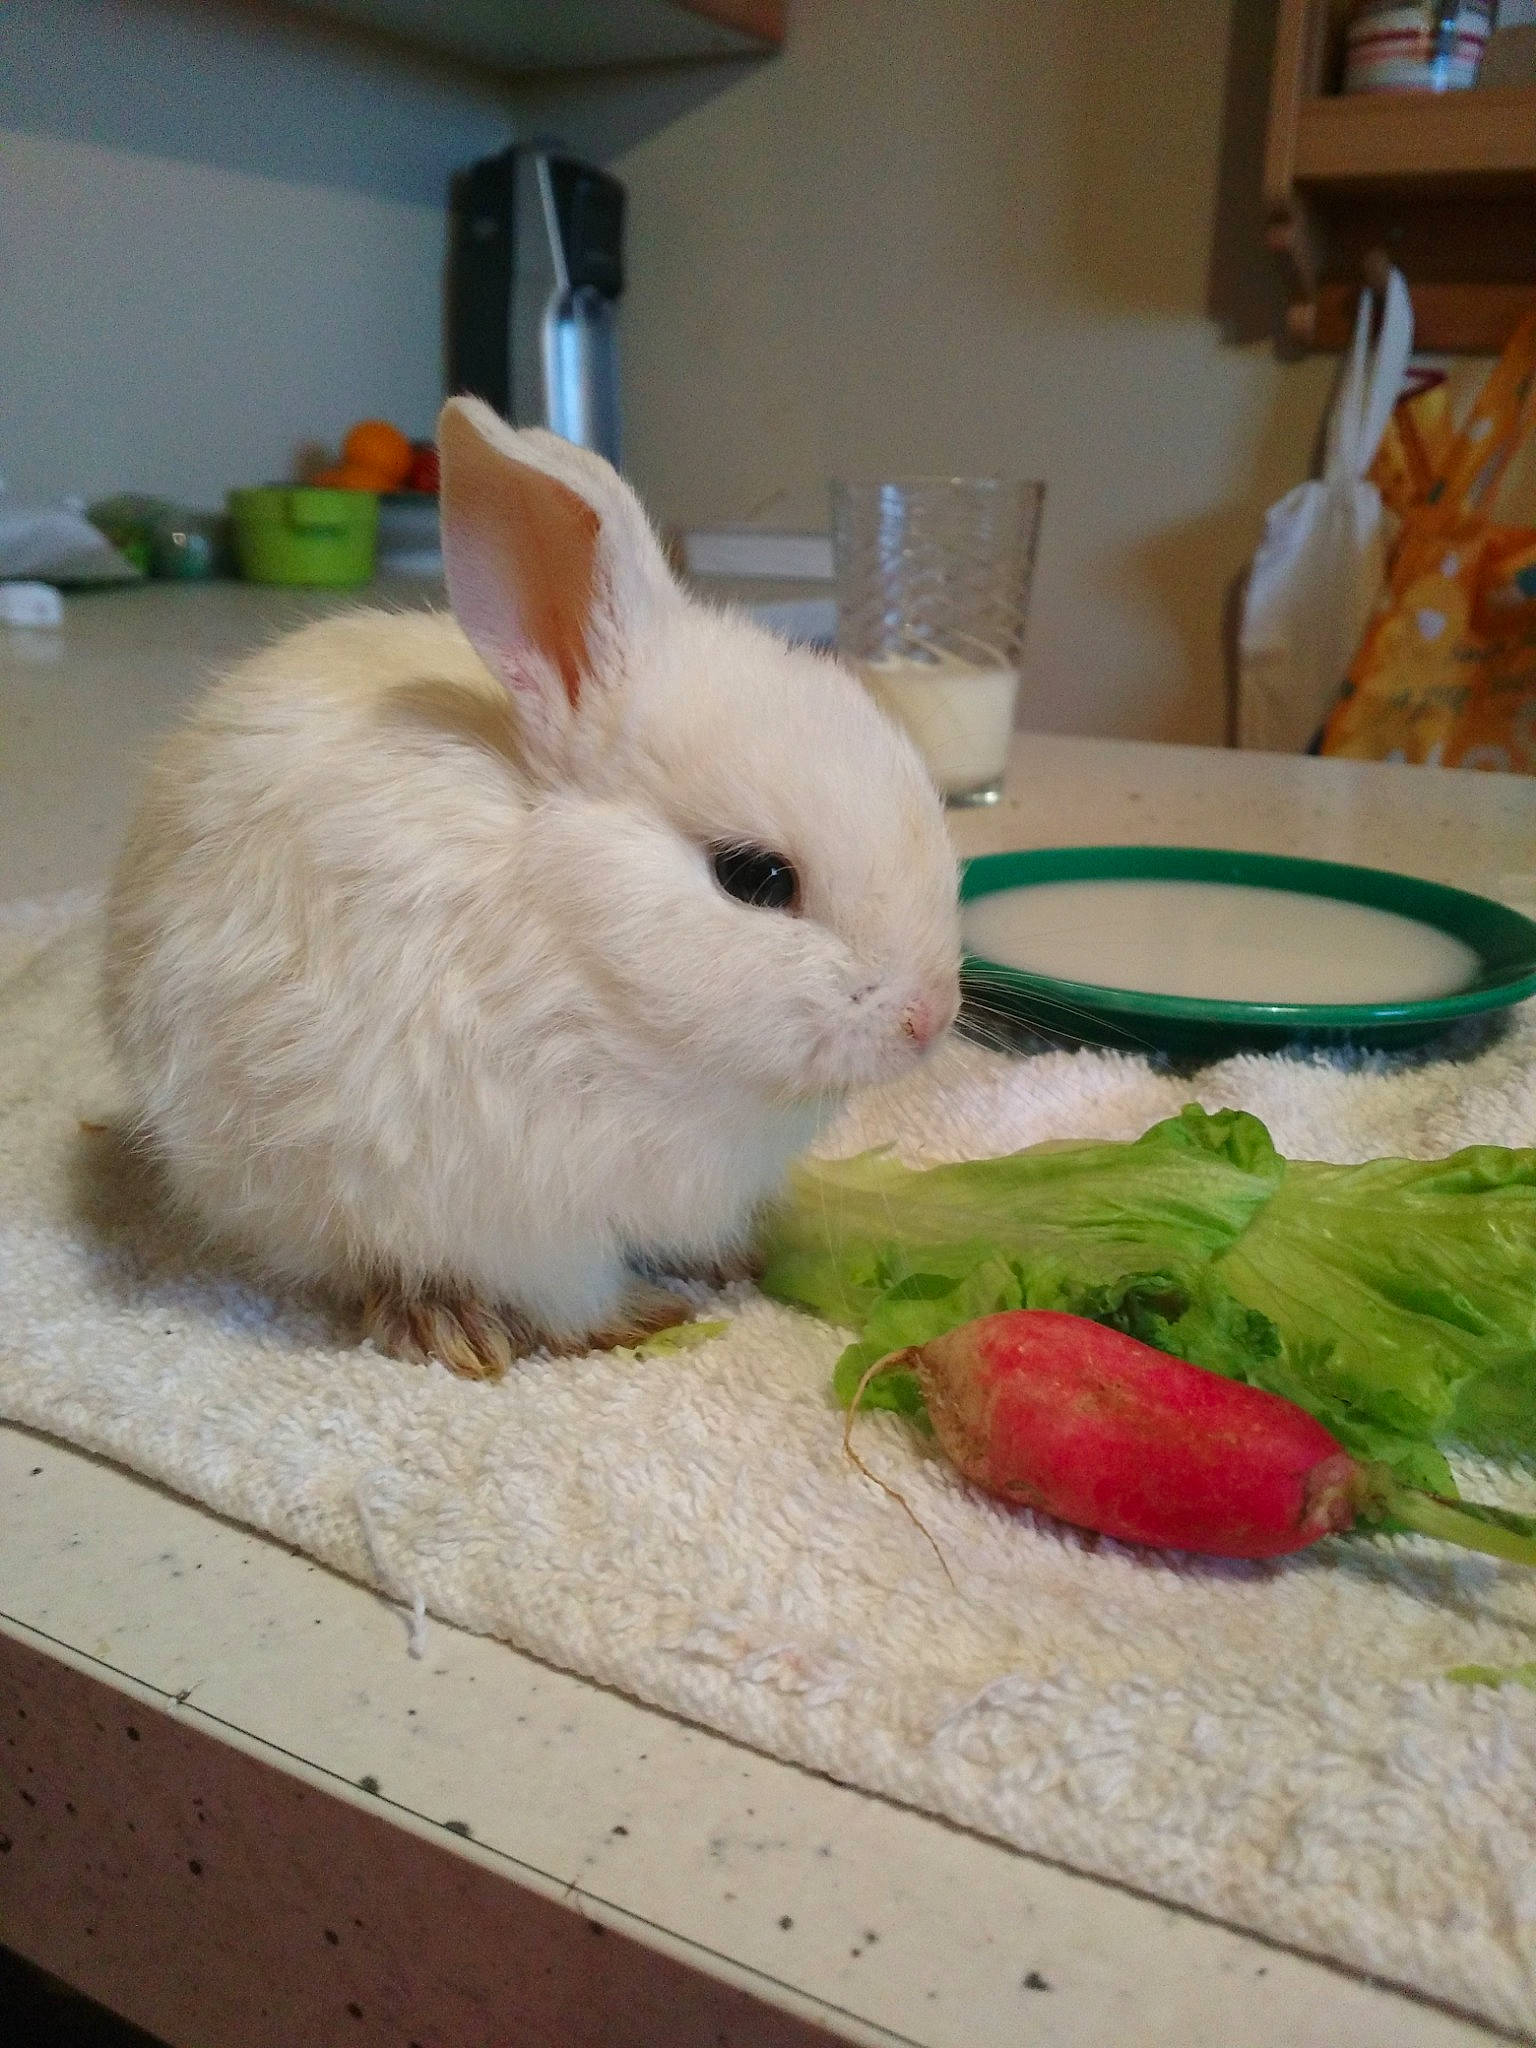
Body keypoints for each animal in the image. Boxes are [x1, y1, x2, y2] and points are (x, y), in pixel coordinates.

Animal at [103, 399, 963, 1379]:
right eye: (754, 877)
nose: (929, 1019)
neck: (593, 970)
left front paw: (734, 1259)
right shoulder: (513, 1201)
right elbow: (564, 1286)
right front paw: (635, 1316)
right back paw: (444, 1321)